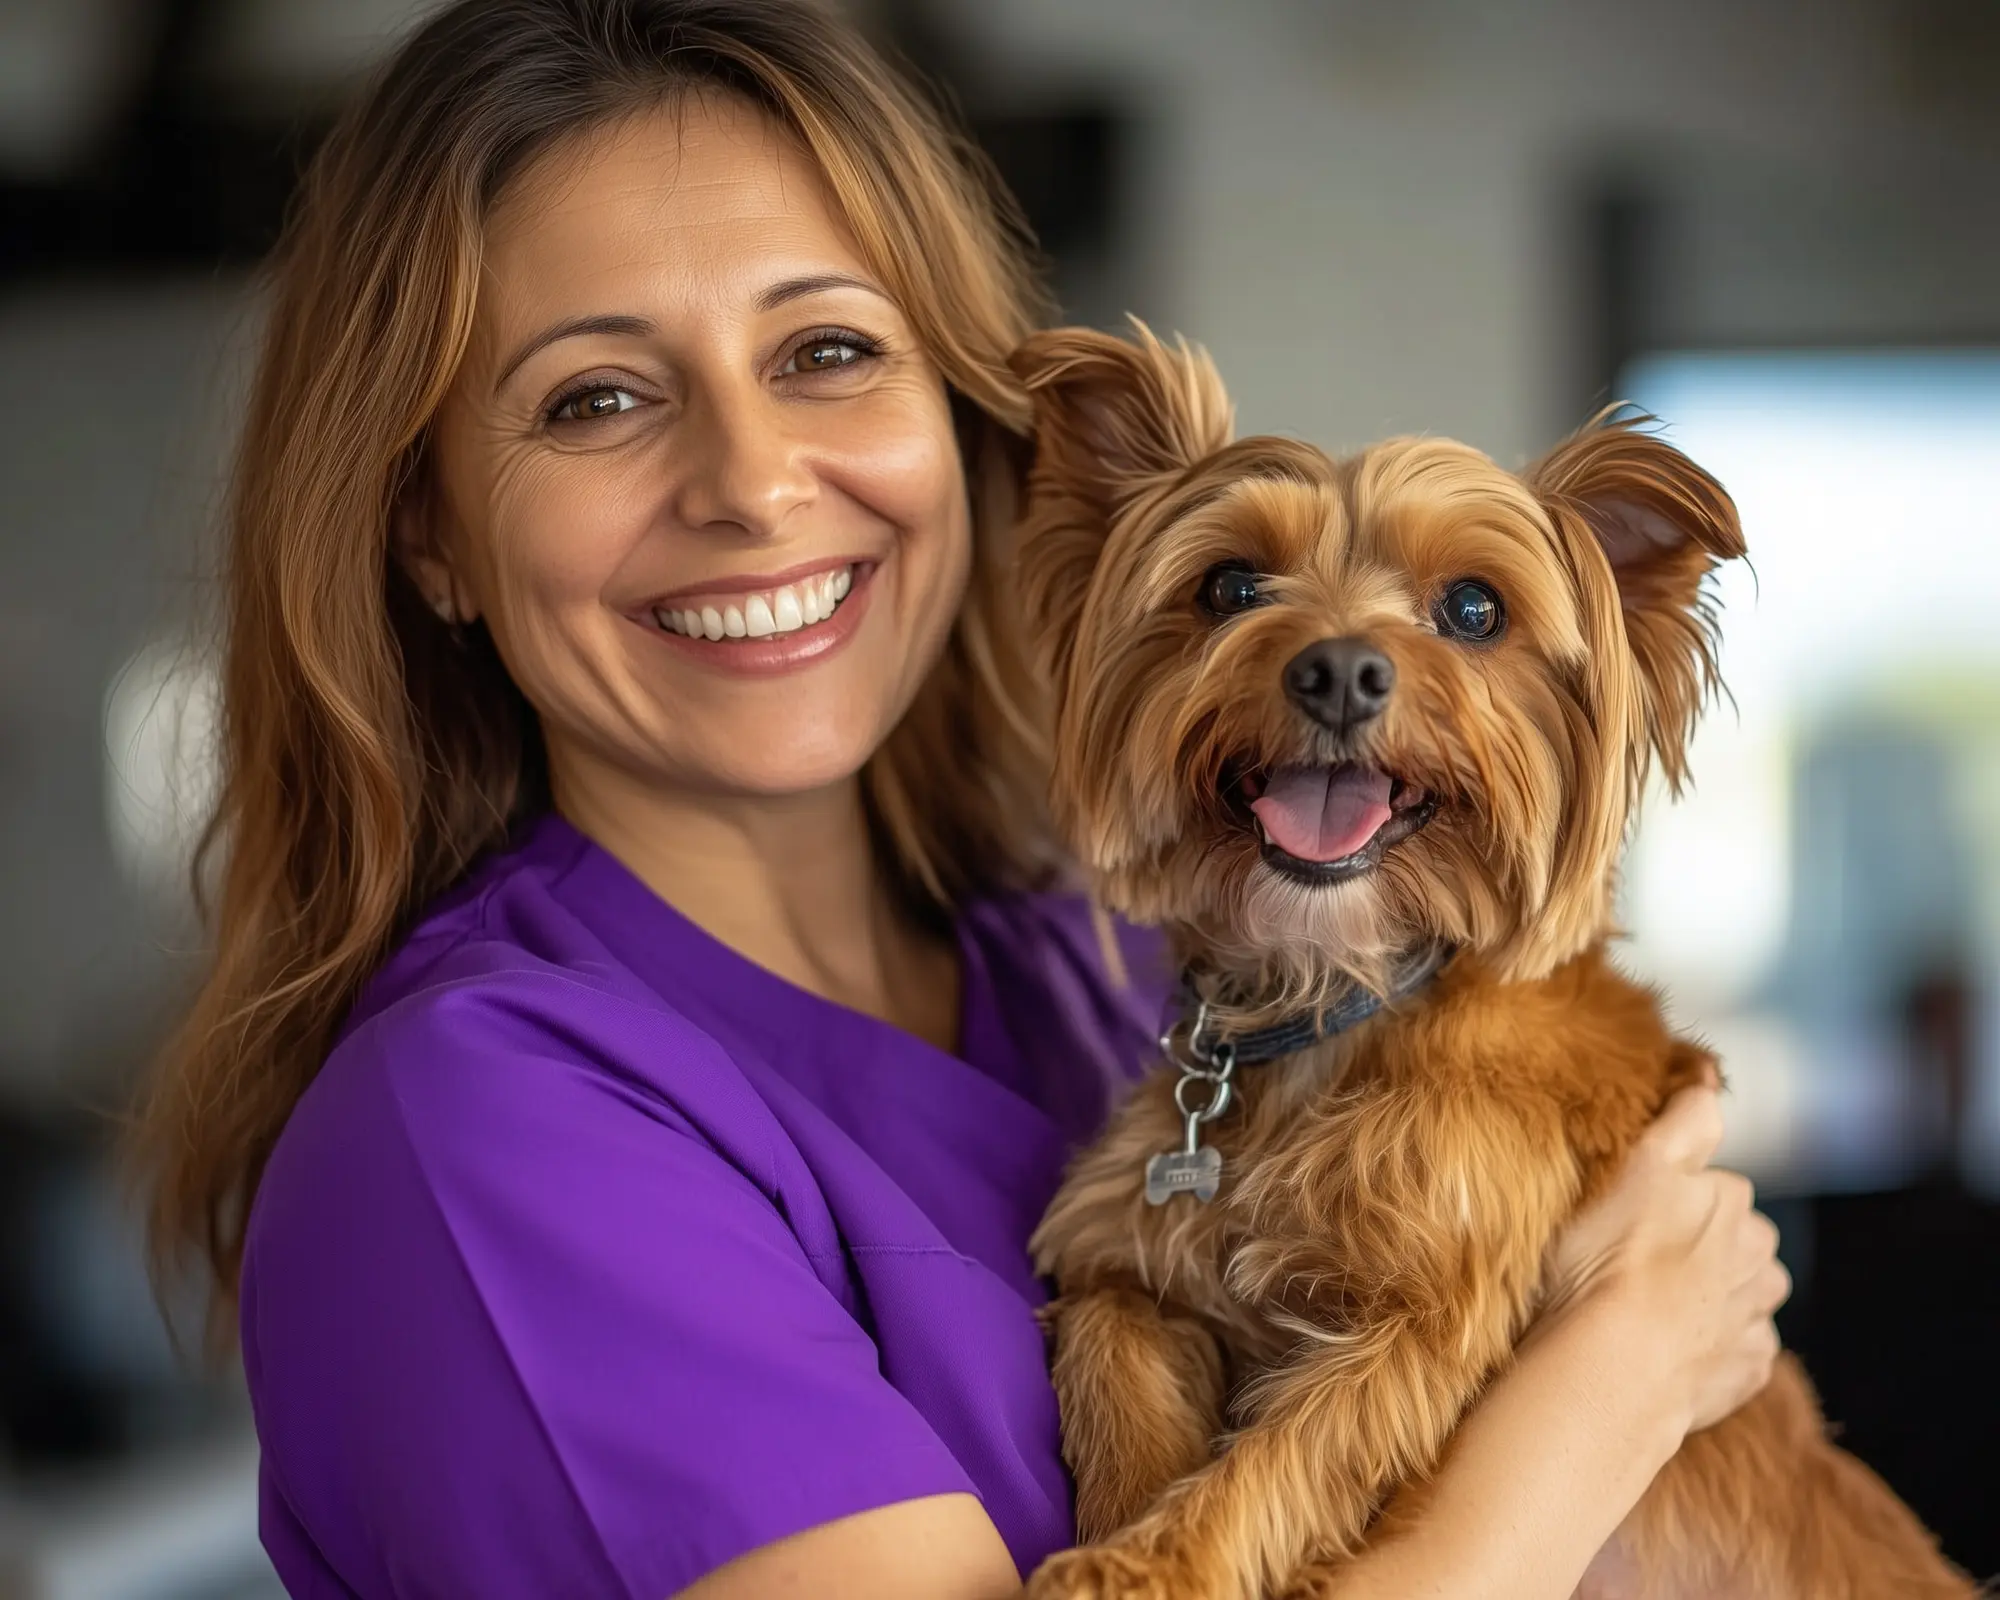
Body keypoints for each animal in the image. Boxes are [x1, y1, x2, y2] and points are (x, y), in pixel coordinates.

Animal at [1008, 324, 1976, 1600]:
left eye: (1472, 607)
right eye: (1227, 588)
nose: (1338, 670)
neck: (1339, 1001)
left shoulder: (1417, 1326)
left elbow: (1280, 1463)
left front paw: (1147, 1566)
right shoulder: (1126, 1268)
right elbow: (1117, 1389)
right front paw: (1123, 1536)